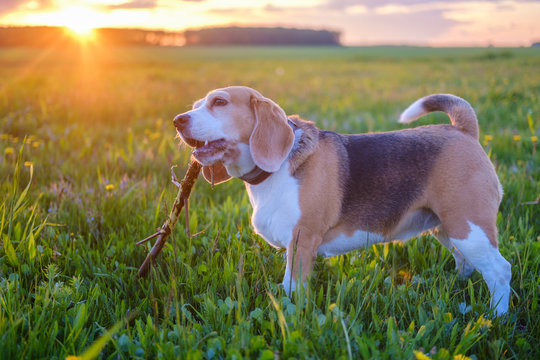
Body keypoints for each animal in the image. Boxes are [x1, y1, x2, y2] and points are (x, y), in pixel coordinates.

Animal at [173, 86, 510, 316]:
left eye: (219, 102)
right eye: (195, 106)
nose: (177, 120)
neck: (276, 168)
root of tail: (462, 130)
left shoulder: (302, 241)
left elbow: (293, 289)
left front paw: (293, 318)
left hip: (468, 226)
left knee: (499, 270)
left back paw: (496, 319)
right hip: (449, 228)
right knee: (466, 262)